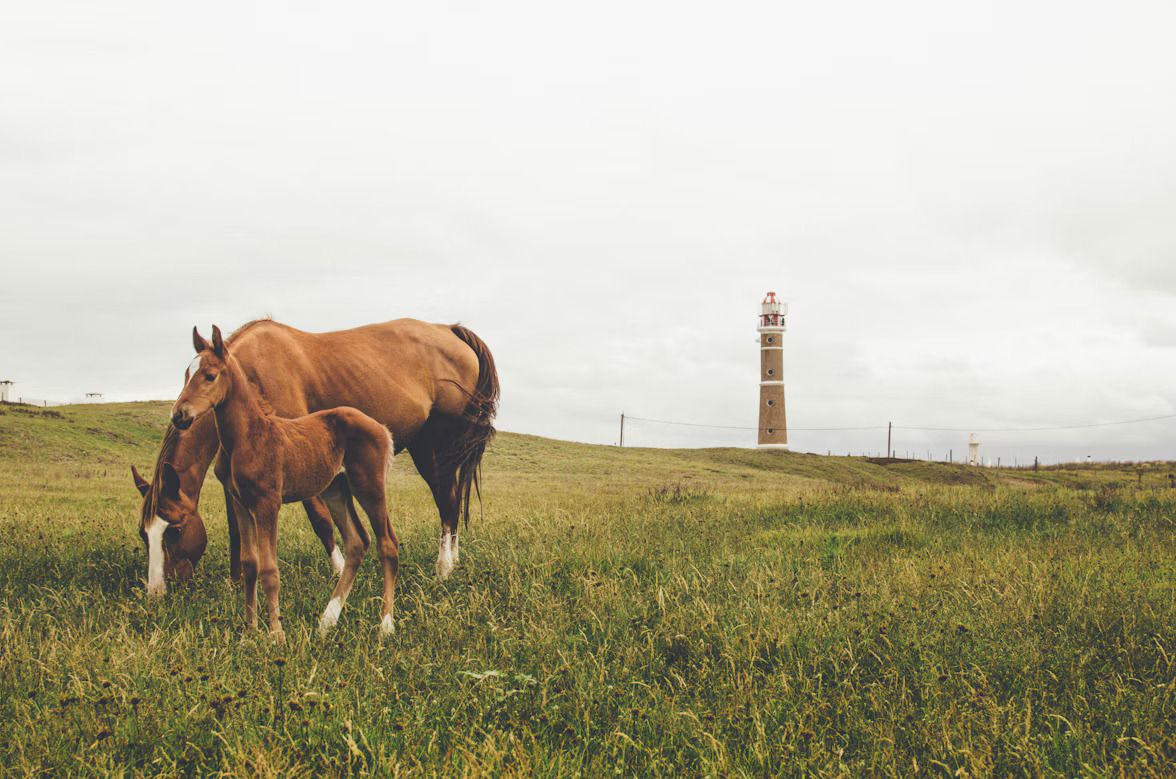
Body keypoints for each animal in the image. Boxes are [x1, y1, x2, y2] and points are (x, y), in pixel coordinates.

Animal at [132, 317, 498, 597]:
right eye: (143, 533)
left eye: (175, 530)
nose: (156, 591)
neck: (251, 373)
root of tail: (449, 330)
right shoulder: (235, 477)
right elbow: (237, 528)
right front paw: (236, 581)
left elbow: (320, 520)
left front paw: (339, 570)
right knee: (452, 500)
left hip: (435, 448)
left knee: (447, 502)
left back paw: (444, 567)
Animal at [169, 325, 399, 638]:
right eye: (185, 373)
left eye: (210, 375)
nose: (179, 415)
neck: (246, 437)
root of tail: (382, 429)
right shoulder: (241, 503)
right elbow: (250, 564)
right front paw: (249, 632)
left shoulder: (268, 503)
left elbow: (269, 569)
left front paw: (276, 634)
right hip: (335, 490)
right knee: (356, 542)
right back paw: (326, 622)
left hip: (369, 486)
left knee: (387, 543)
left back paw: (385, 625)